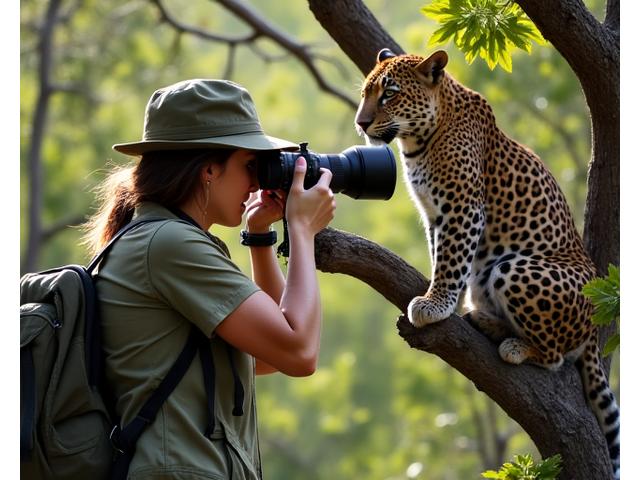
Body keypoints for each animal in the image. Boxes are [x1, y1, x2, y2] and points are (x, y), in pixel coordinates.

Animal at [355, 48, 620, 478]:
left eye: (389, 94)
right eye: (366, 93)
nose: (361, 123)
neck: (418, 141)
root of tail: (595, 330)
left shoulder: (463, 209)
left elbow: (452, 260)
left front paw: (435, 304)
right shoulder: (433, 216)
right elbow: (444, 256)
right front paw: (445, 301)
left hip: (514, 269)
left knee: (555, 357)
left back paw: (514, 344)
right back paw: (485, 319)